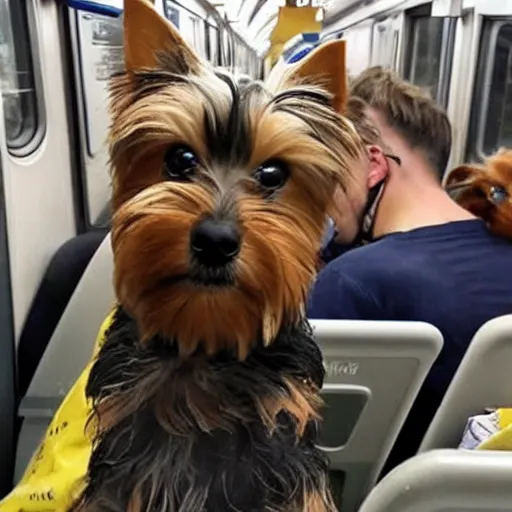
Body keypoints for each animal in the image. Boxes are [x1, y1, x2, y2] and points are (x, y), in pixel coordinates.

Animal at [69, 1, 364, 512]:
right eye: (180, 160)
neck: (204, 340)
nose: (215, 240)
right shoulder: (126, 457)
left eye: (272, 174)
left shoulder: (284, 452)